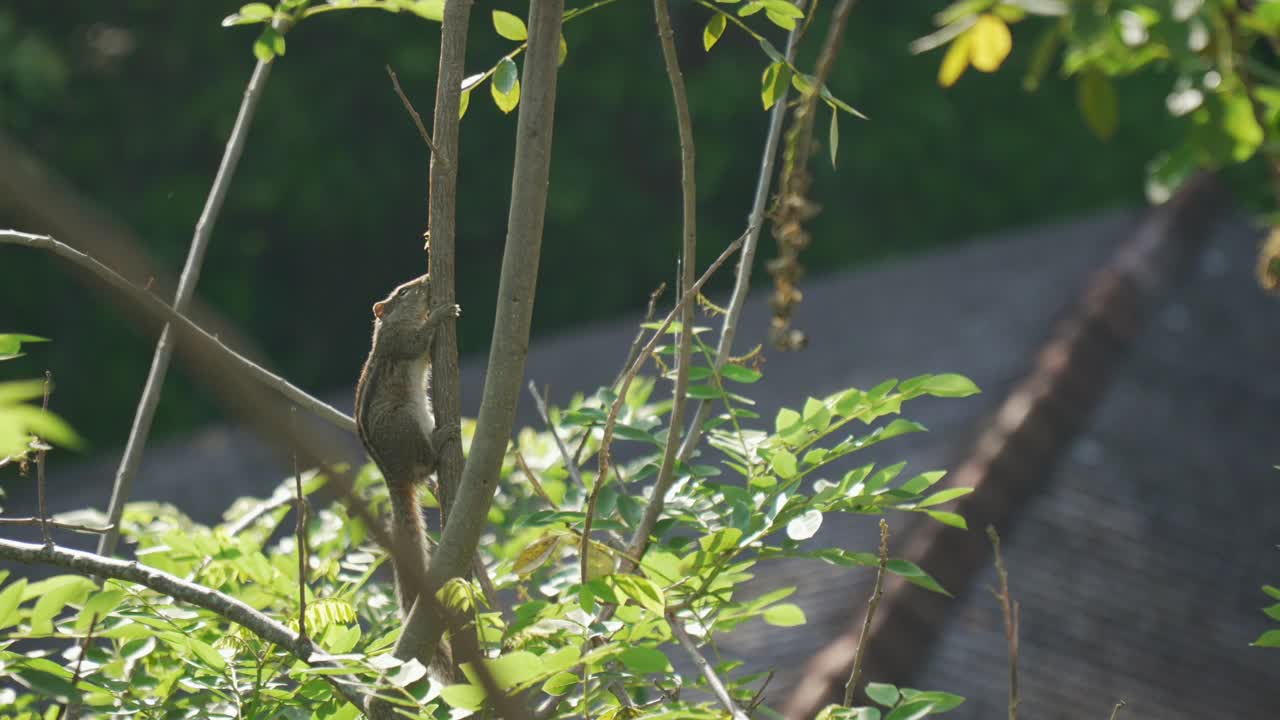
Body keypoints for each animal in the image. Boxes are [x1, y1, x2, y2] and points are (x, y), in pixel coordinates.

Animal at [354, 274, 460, 675]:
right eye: (402, 292)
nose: (426, 278)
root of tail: (393, 476)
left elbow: (427, 354)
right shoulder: (400, 341)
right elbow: (418, 341)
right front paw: (441, 313)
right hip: (405, 423)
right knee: (426, 461)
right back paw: (442, 441)